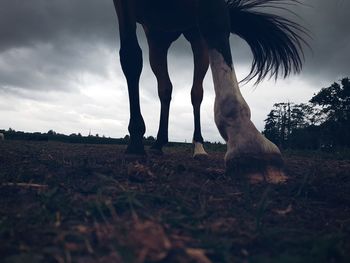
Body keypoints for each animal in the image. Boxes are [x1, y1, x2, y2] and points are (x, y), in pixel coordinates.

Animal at [113, 0, 306, 177]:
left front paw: (247, 141)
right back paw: (158, 143)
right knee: (165, 89)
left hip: (191, 37)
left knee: (194, 93)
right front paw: (135, 143)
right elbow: (130, 56)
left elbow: (216, 23)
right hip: (157, 38)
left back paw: (198, 147)